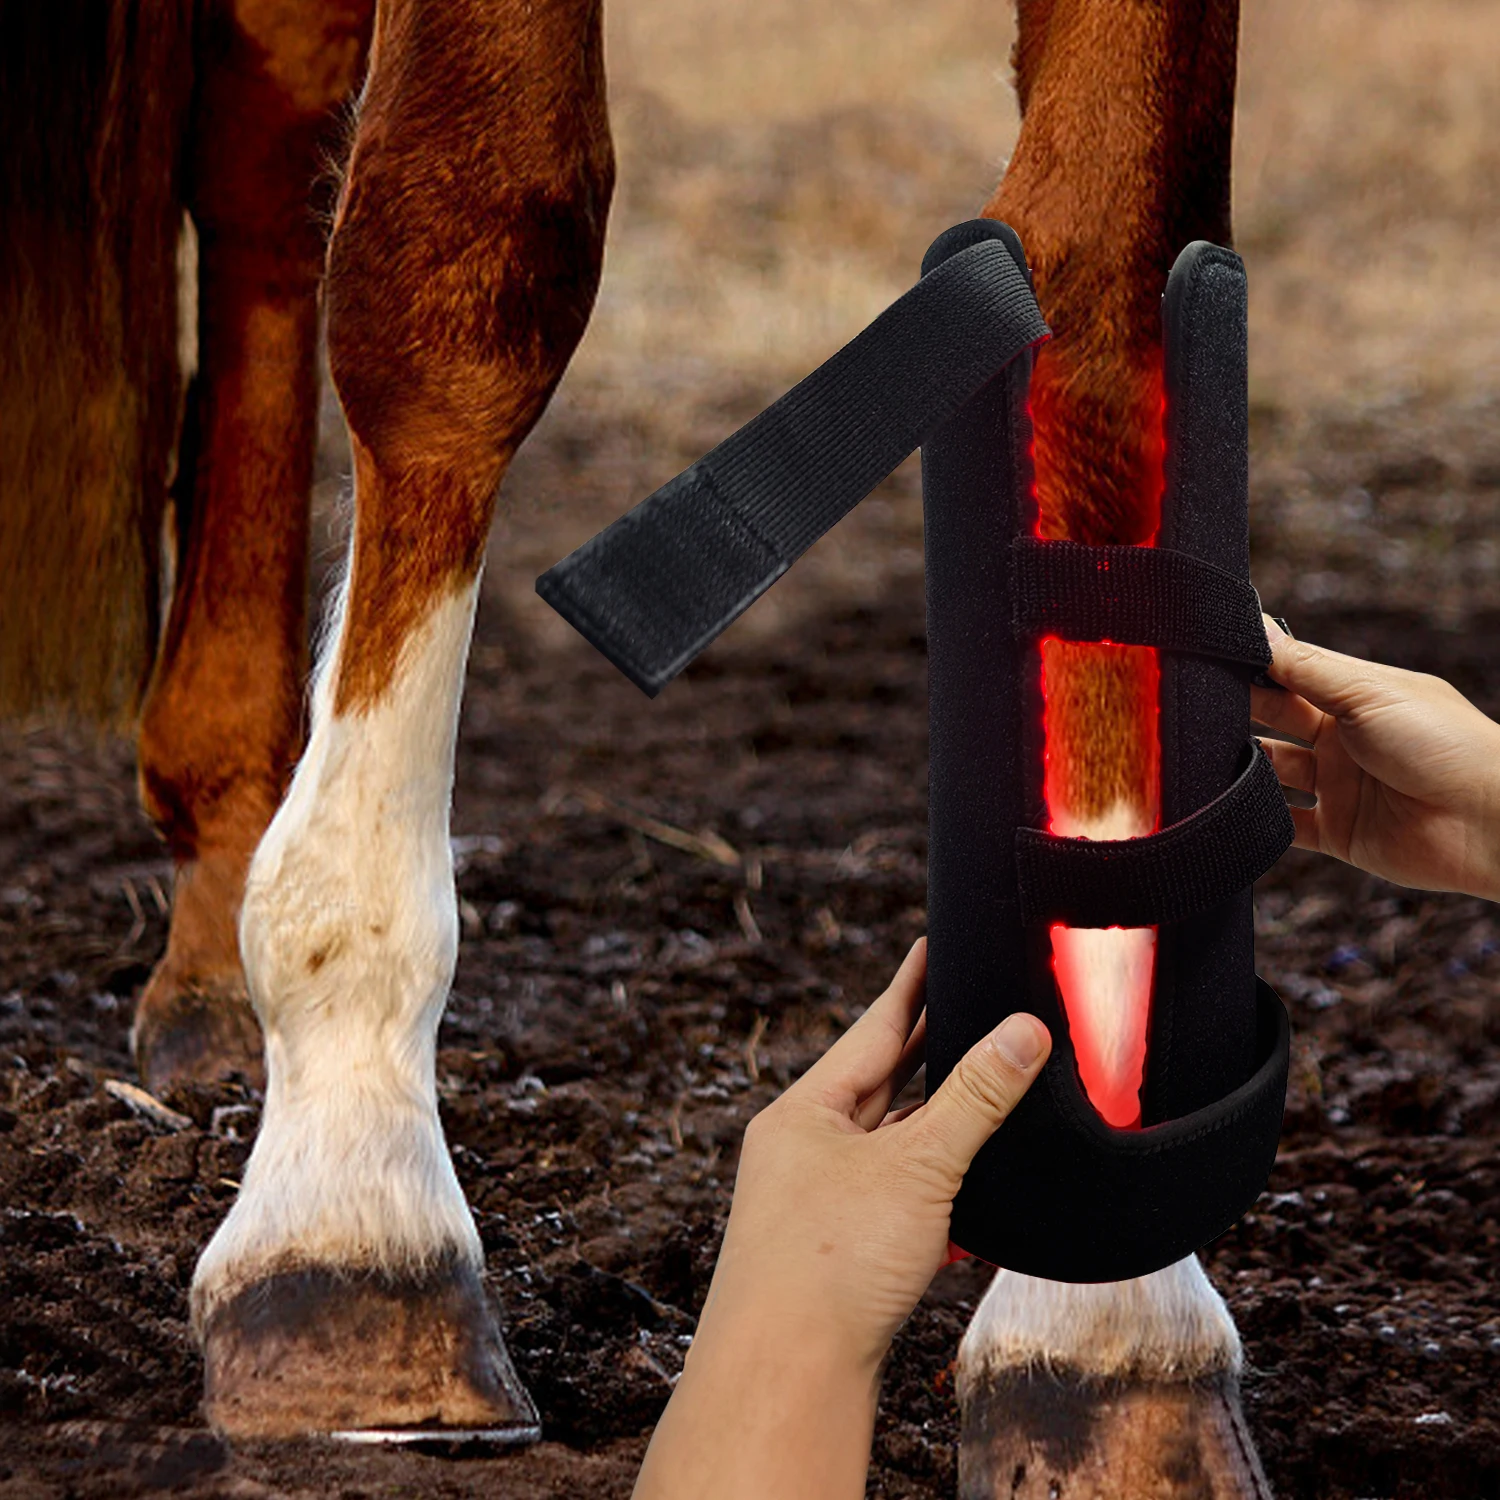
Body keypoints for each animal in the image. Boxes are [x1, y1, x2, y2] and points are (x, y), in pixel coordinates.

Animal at [1, 0, 1268, 1489]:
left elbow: (1103, 333)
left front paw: (1105, 1307)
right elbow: (469, 256)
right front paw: (352, 1196)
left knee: (272, 165)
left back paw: (209, 950)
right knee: (267, 157)